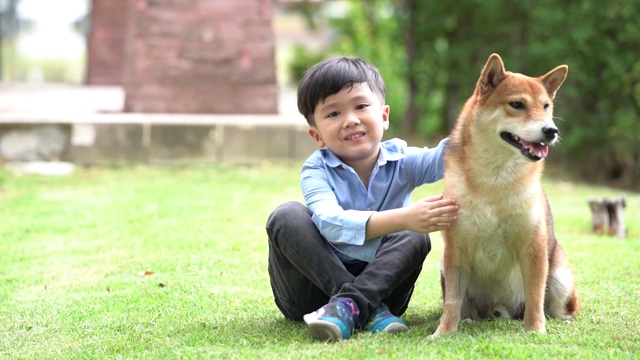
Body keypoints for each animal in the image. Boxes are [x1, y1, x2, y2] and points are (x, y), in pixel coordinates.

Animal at [430, 53, 580, 338]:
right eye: (517, 105)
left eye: (546, 106)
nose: (551, 130)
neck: (494, 180)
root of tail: (502, 308)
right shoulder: (456, 249)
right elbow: (452, 302)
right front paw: (443, 332)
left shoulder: (533, 246)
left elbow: (535, 298)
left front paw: (534, 330)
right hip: (444, 268)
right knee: (469, 308)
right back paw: (470, 320)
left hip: (559, 276)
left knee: (557, 307)